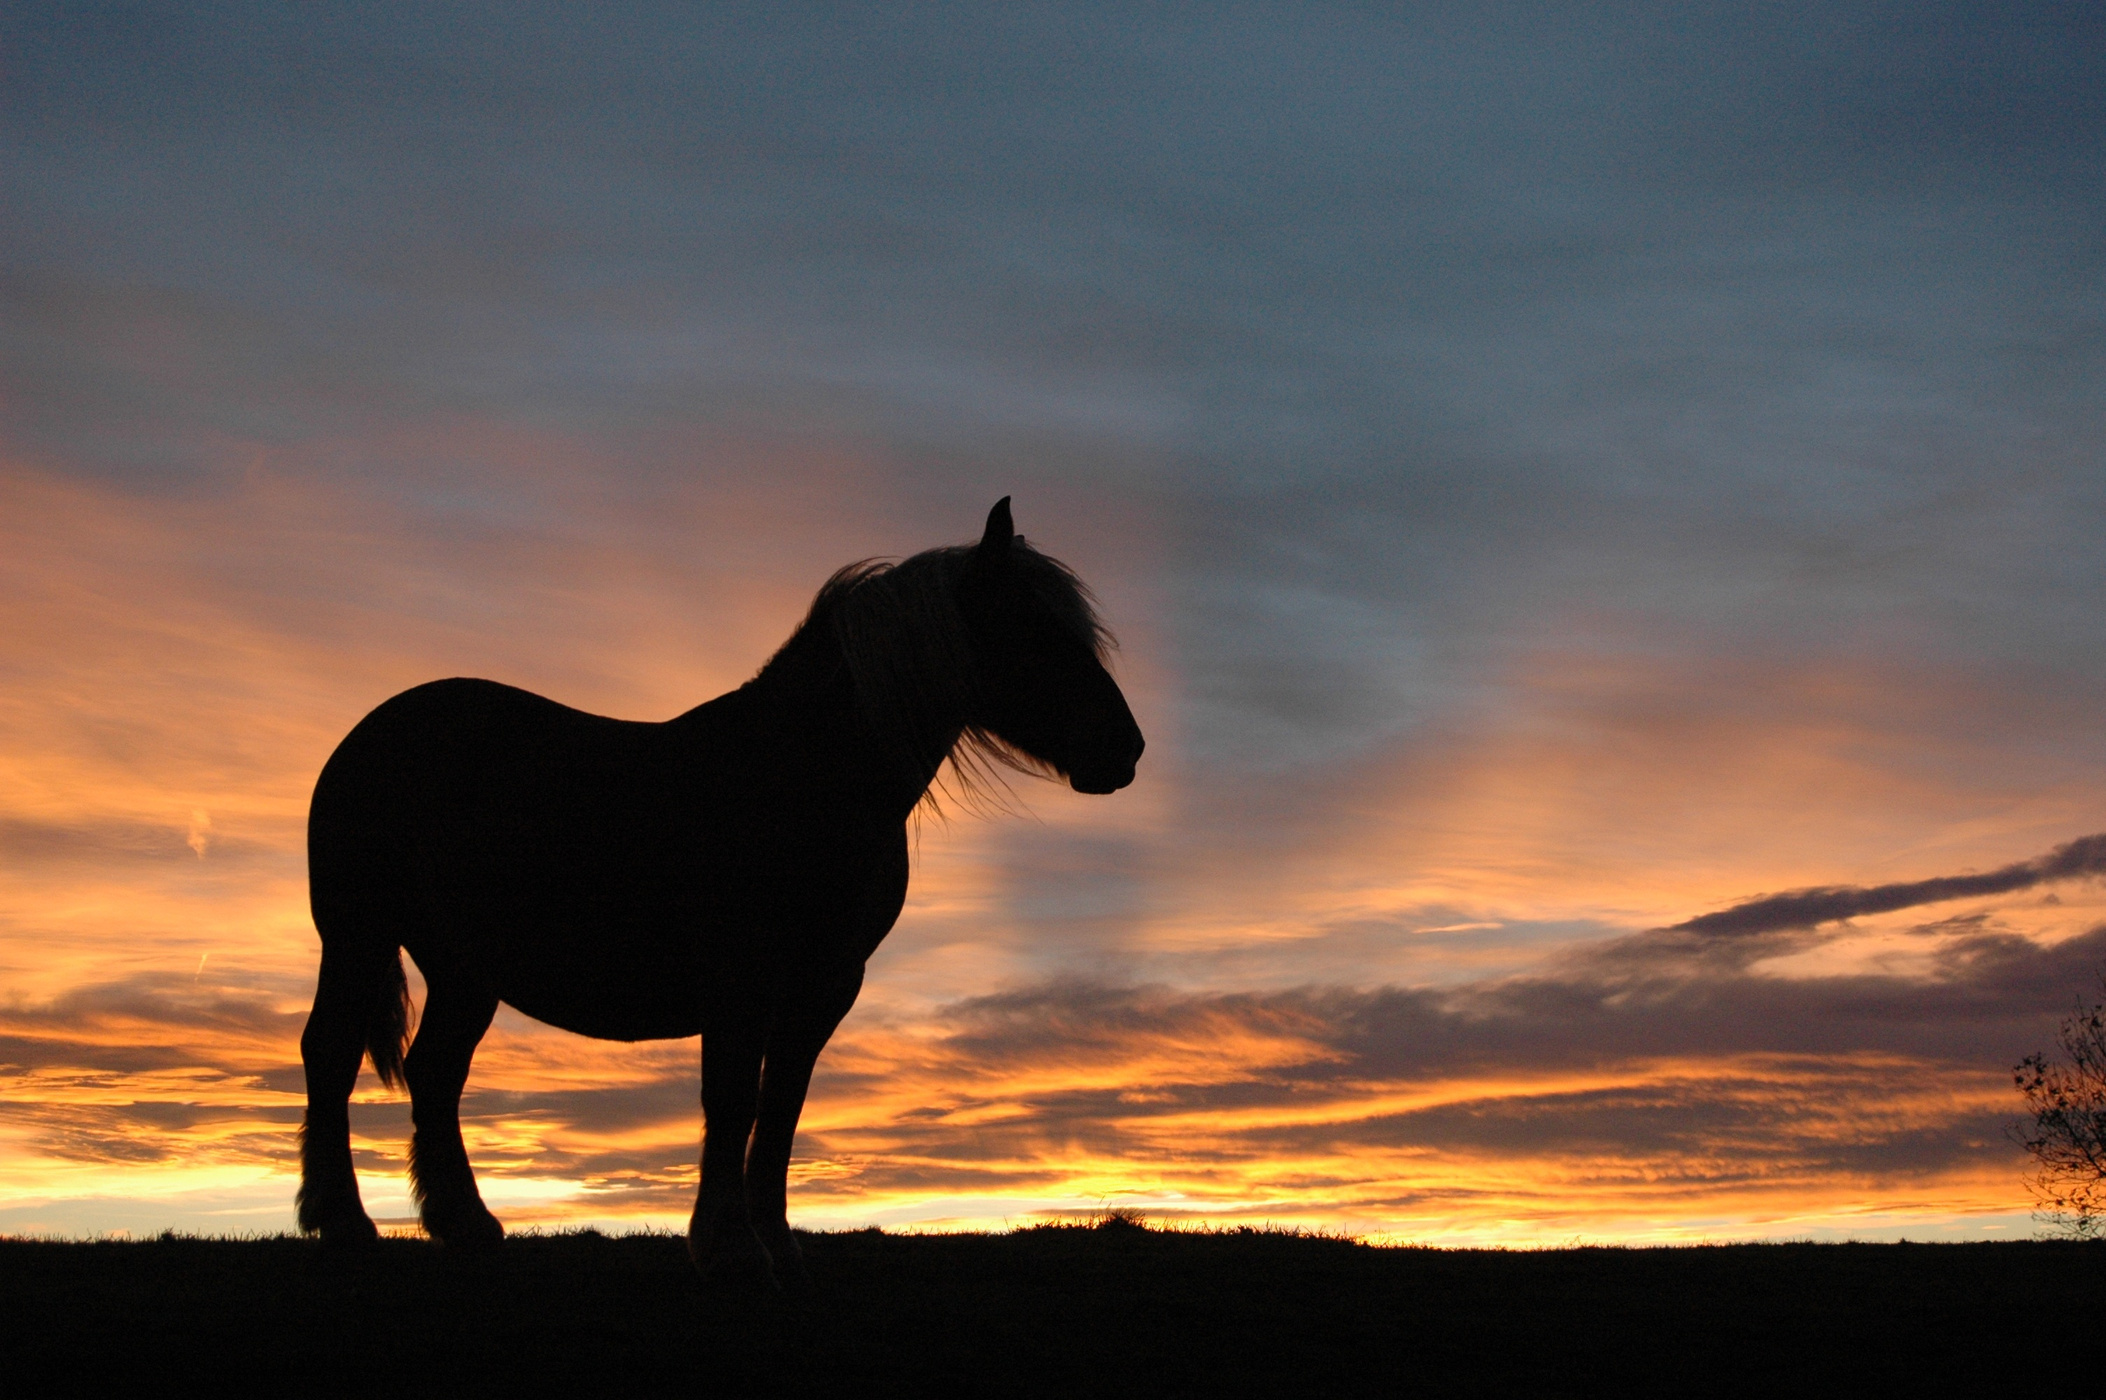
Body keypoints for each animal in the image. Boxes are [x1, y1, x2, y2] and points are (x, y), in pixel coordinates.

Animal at [294, 498, 1145, 1280]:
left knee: (437, 1073)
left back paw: (465, 1224)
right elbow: (732, 1099)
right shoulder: (743, 978)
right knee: (330, 1054)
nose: (1126, 749)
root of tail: (375, 729)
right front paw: (730, 1242)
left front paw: (774, 1238)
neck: (797, 775)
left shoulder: (825, 985)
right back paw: (342, 1222)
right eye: (1030, 628)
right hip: (359, 936)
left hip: (465, 969)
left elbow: (781, 1108)